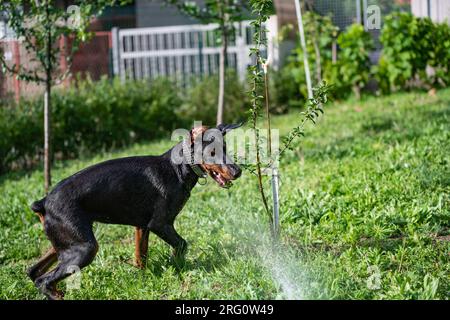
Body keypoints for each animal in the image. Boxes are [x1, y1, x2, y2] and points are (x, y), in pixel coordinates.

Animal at [27, 123, 243, 300]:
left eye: (225, 148)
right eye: (212, 152)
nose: (238, 171)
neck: (176, 168)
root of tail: (44, 202)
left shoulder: (142, 226)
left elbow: (141, 258)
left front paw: (145, 278)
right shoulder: (160, 224)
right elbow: (181, 245)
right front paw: (178, 268)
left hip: (65, 244)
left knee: (33, 271)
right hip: (85, 248)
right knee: (43, 281)